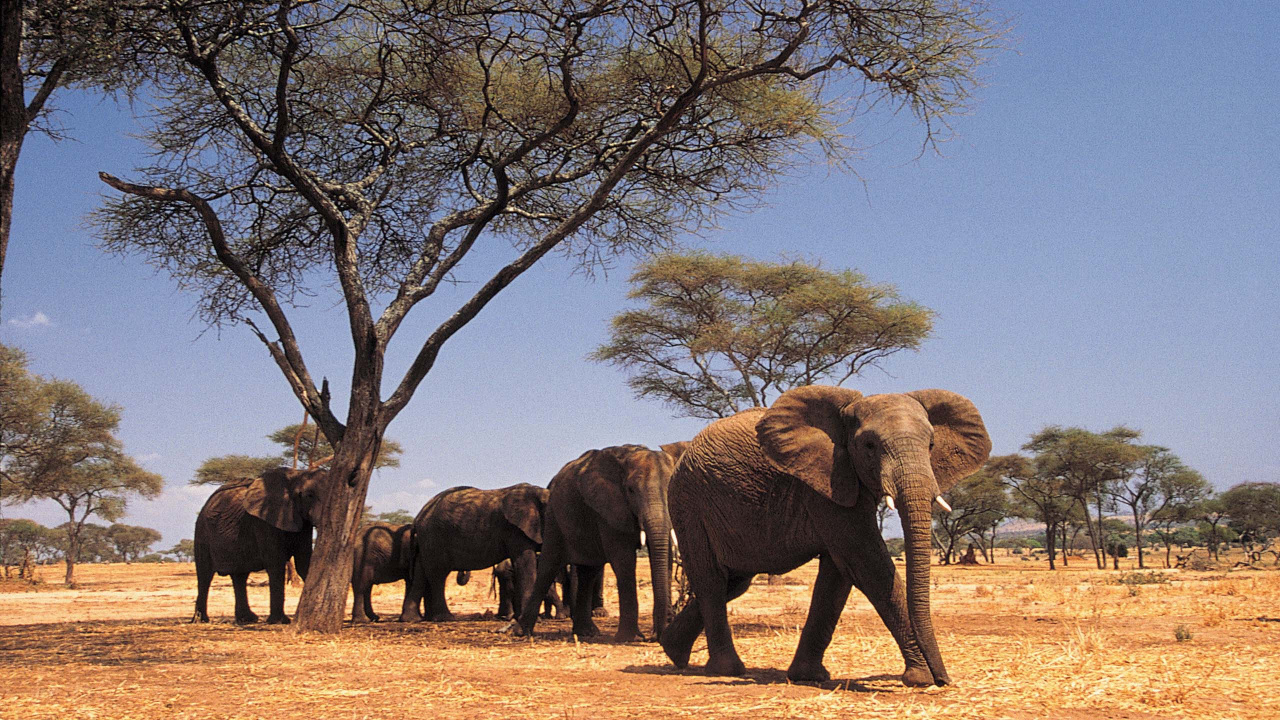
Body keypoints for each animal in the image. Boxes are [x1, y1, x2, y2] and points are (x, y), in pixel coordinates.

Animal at [193, 467, 325, 624]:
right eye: (309, 496)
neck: (297, 474)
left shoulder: (302, 522)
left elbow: (304, 562)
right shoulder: (264, 521)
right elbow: (276, 564)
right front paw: (280, 621)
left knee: (240, 576)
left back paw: (247, 619)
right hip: (202, 532)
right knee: (205, 575)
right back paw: (201, 620)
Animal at [400, 483, 549, 622]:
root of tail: (418, 518)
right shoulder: (516, 530)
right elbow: (525, 565)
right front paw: (533, 620)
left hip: (426, 540)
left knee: (421, 573)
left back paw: (412, 619)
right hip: (434, 536)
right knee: (438, 574)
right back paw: (445, 618)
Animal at [516, 442, 686, 642]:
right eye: (630, 490)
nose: (654, 637)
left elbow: (664, 556)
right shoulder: (608, 507)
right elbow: (623, 560)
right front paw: (629, 638)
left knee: (589, 572)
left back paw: (586, 632)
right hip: (554, 516)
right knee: (549, 566)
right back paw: (522, 632)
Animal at [659, 386, 990, 687]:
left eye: (932, 444)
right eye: (869, 445)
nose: (946, 680)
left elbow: (837, 576)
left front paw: (808, 677)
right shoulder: (825, 483)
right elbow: (866, 563)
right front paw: (921, 678)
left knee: (735, 581)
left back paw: (673, 651)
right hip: (689, 503)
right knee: (712, 580)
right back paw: (726, 670)